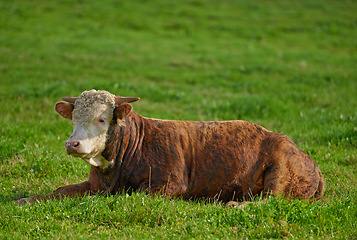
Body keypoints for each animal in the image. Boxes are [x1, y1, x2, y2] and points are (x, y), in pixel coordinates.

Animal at [16, 90, 322, 204]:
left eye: (102, 118)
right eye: (73, 118)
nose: (73, 143)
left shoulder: (169, 184)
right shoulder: (95, 184)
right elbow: (60, 191)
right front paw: (26, 200)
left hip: (278, 169)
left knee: (269, 200)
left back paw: (234, 203)